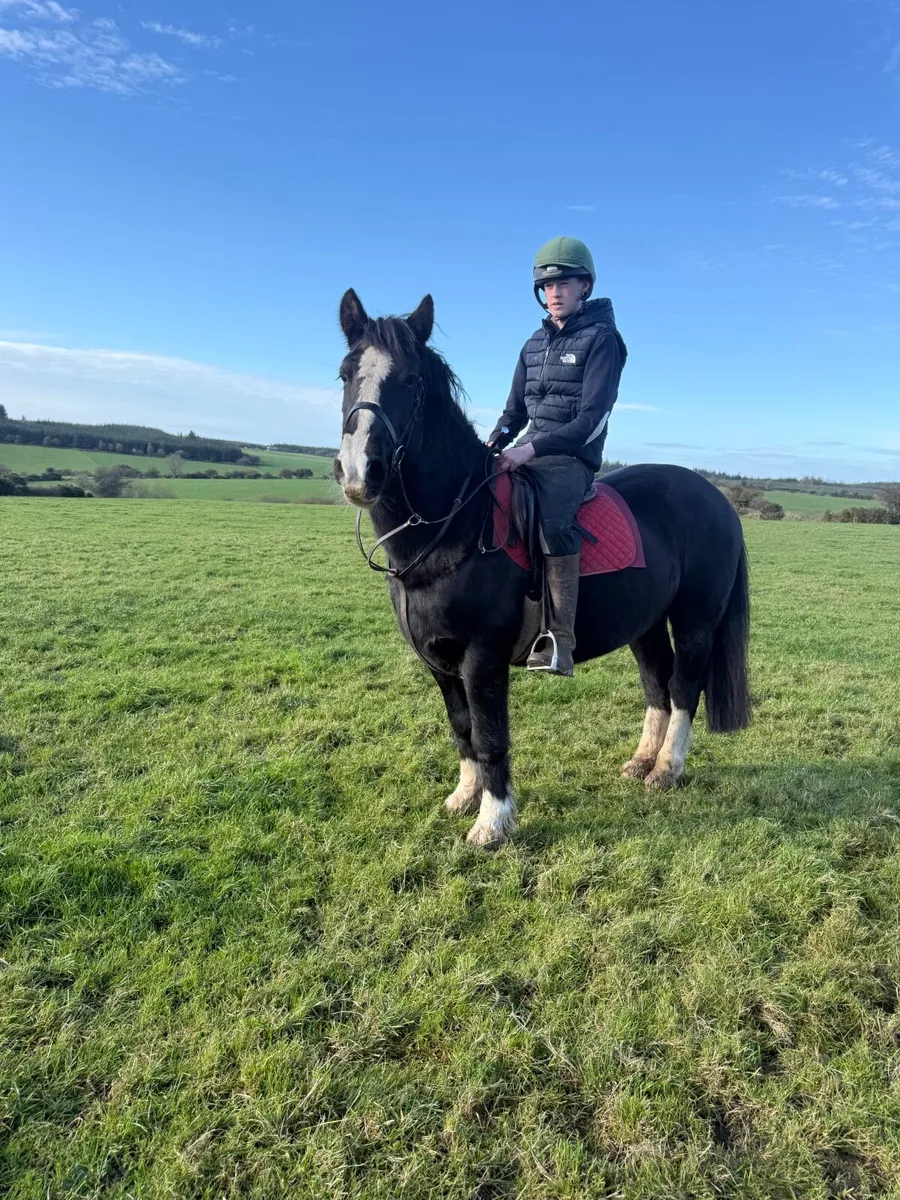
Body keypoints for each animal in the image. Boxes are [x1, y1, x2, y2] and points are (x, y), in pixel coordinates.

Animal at [333, 289, 750, 848]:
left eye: (412, 380)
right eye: (344, 373)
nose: (360, 472)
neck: (458, 522)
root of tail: (717, 499)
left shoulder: (481, 658)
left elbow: (490, 734)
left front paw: (492, 822)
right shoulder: (438, 661)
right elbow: (462, 728)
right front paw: (464, 797)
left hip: (696, 620)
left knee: (685, 687)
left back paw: (667, 769)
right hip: (644, 623)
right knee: (657, 683)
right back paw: (641, 762)